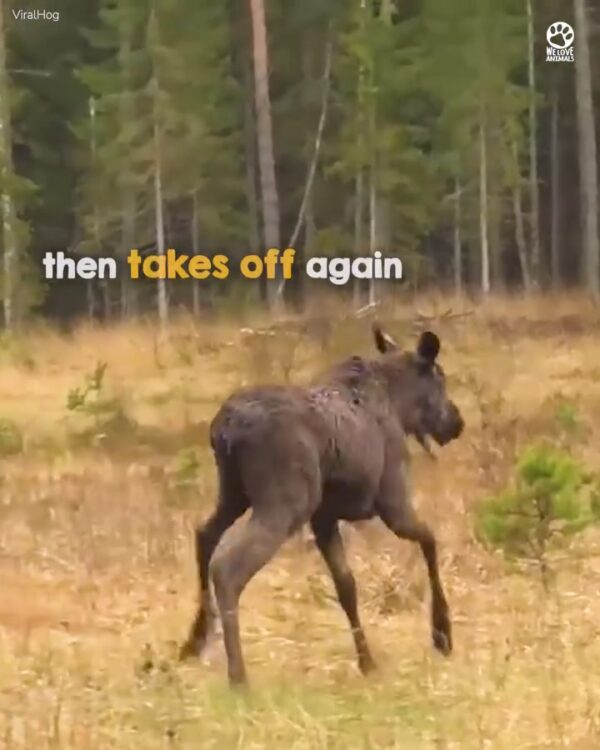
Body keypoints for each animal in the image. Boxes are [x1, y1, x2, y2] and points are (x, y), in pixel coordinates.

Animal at [180, 324, 466, 688]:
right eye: (440, 378)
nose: (457, 422)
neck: (399, 405)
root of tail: (224, 431)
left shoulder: (324, 519)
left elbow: (346, 588)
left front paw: (366, 662)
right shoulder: (392, 503)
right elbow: (430, 540)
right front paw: (441, 633)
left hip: (232, 494)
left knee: (204, 535)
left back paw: (195, 639)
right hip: (283, 506)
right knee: (228, 569)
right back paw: (238, 677)